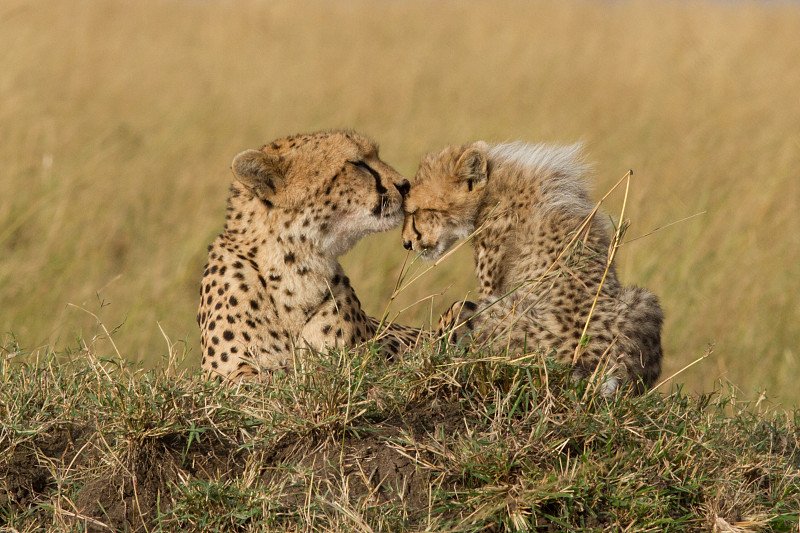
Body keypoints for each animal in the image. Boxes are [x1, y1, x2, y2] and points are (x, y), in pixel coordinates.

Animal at [404, 140, 664, 390]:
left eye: (419, 211)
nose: (407, 243)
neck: (495, 185)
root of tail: (582, 360)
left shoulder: (491, 290)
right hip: (644, 301)